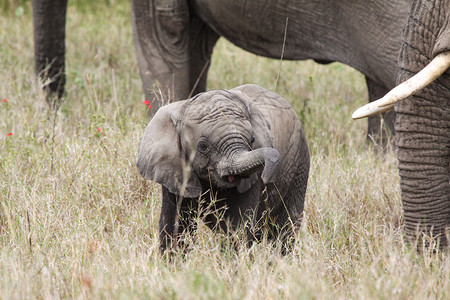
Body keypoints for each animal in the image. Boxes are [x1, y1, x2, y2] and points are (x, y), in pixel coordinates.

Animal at [138, 84, 310, 251]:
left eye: (252, 140)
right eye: (203, 146)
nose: (268, 177)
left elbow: (237, 227)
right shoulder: (175, 169)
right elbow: (177, 224)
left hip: (300, 162)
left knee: (285, 229)